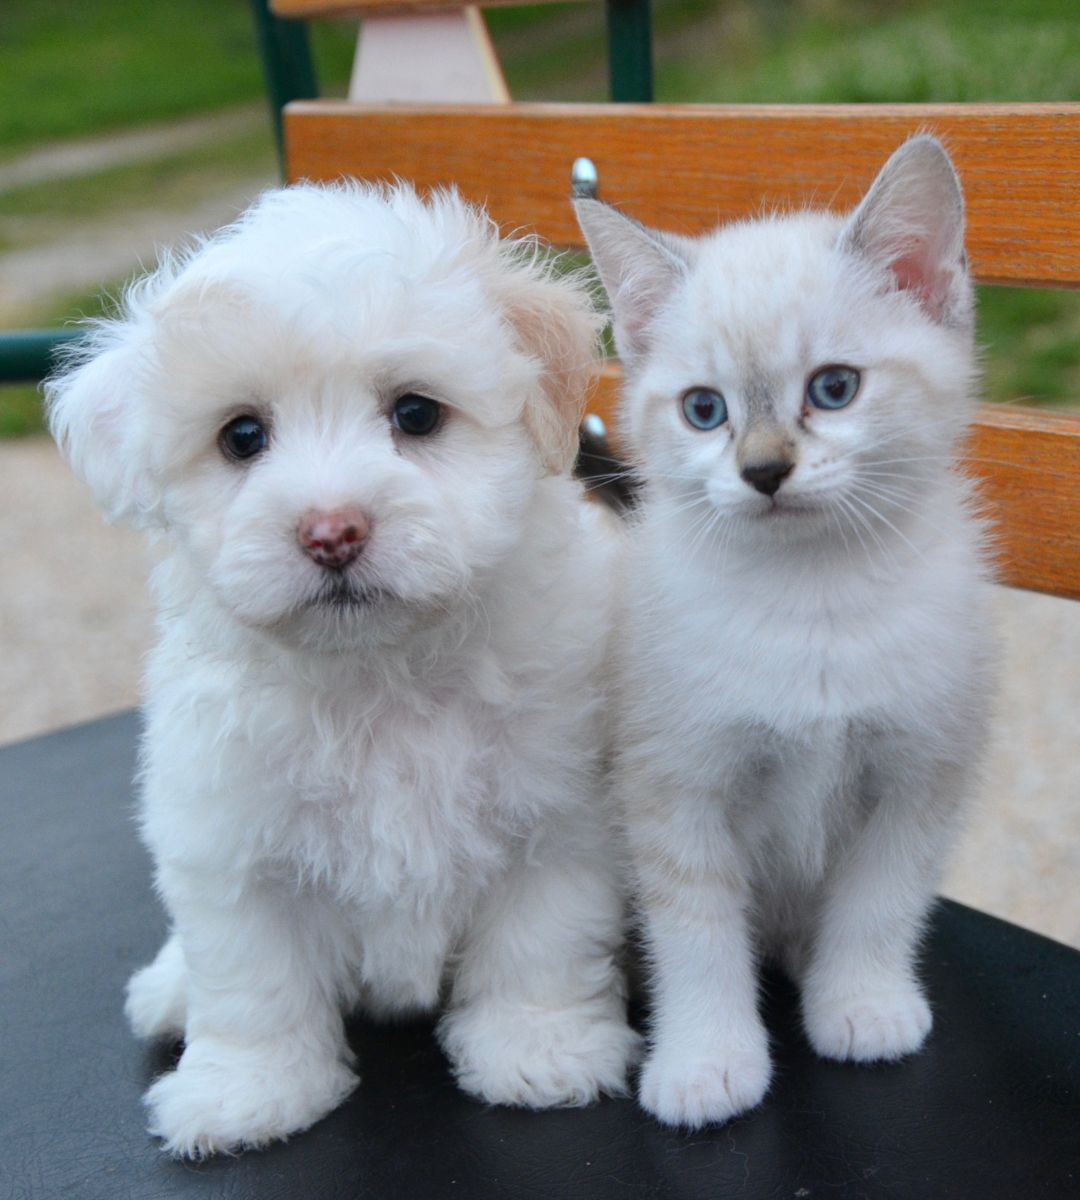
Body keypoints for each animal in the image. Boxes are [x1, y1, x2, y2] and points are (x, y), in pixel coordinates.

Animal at [48, 182, 643, 1156]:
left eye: (416, 415)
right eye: (241, 436)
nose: (332, 531)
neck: (378, 675)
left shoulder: (556, 818)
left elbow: (540, 942)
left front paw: (539, 1049)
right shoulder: (232, 845)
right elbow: (252, 982)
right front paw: (247, 1093)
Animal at [578, 136, 993, 1128]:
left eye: (833, 389)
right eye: (704, 409)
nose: (764, 471)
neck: (814, 604)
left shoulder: (920, 771)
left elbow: (881, 901)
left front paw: (863, 1001)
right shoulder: (674, 783)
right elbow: (695, 934)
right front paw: (705, 1060)